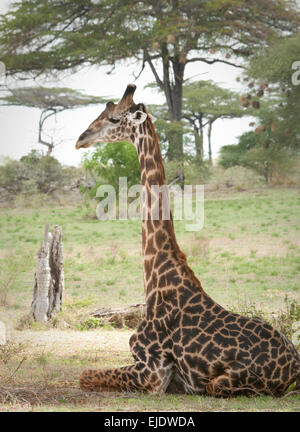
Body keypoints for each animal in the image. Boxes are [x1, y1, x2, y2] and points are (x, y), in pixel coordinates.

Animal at [75, 82, 300, 396]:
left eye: (114, 118)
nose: (80, 139)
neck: (156, 278)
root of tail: (296, 368)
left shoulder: (152, 372)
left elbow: (84, 374)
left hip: (220, 384)